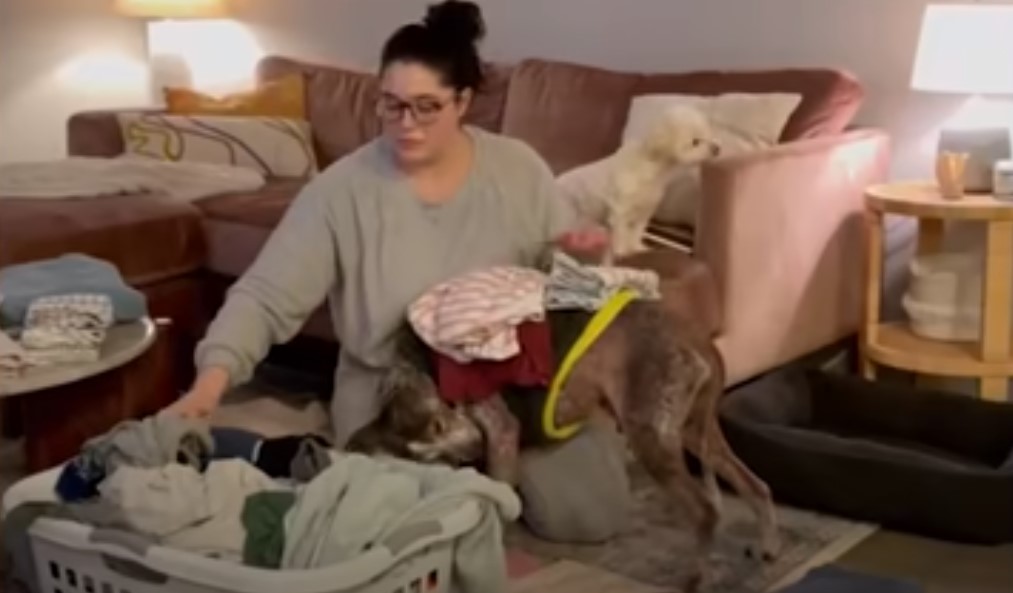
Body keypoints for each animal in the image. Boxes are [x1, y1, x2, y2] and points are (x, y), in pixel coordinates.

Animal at [344, 302, 777, 587]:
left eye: (438, 428)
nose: (469, 456)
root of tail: (702, 342)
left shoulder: (502, 434)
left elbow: (501, 503)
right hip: (694, 433)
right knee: (757, 486)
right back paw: (767, 548)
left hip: (652, 437)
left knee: (706, 512)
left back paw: (696, 576)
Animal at [555, 105, 721, 257]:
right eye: (695, 142)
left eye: (708, 133)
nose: (717, 148)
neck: (653, 169)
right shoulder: (620, 210)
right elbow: (621, 232)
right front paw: (621, 251)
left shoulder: (645, 210)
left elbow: (637, 231)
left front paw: (636, 247)